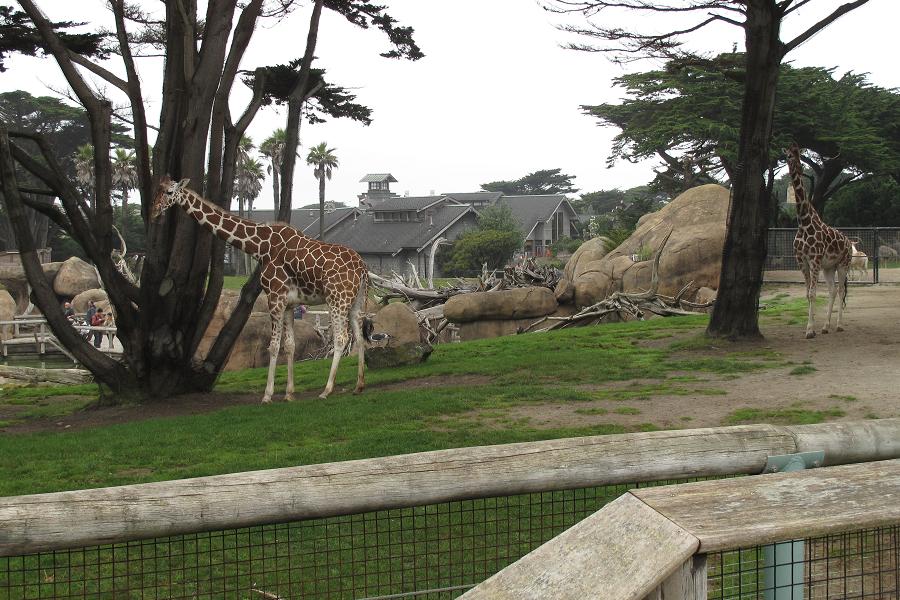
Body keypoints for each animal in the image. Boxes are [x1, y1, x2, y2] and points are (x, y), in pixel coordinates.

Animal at [151, 178, 370, 404]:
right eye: (156, 190)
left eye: (169, 192)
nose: (154, 211)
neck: (260, 247)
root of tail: (362, 268)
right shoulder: (289, 303)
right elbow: (289, 345)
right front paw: (289, 393)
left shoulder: (274, 297)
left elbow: (273, 346)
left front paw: (267, 395)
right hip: (356, 301)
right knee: (359, 336)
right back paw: (358, 386)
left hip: (337, 299)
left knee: (341, 339)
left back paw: (327, 390)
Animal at [788, 141, 852, 338]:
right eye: (788, 155)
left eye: (798, 154)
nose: (798, 167)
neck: (803, 222)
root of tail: (849, 242)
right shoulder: (801, 260)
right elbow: (807, 293)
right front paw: (812, 327)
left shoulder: (814, 259)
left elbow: (813, 293)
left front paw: (810, 330)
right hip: (829, 267)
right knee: (832, 290)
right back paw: (825, 326)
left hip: (843, 264)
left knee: (841, 290)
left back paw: (838, 325)